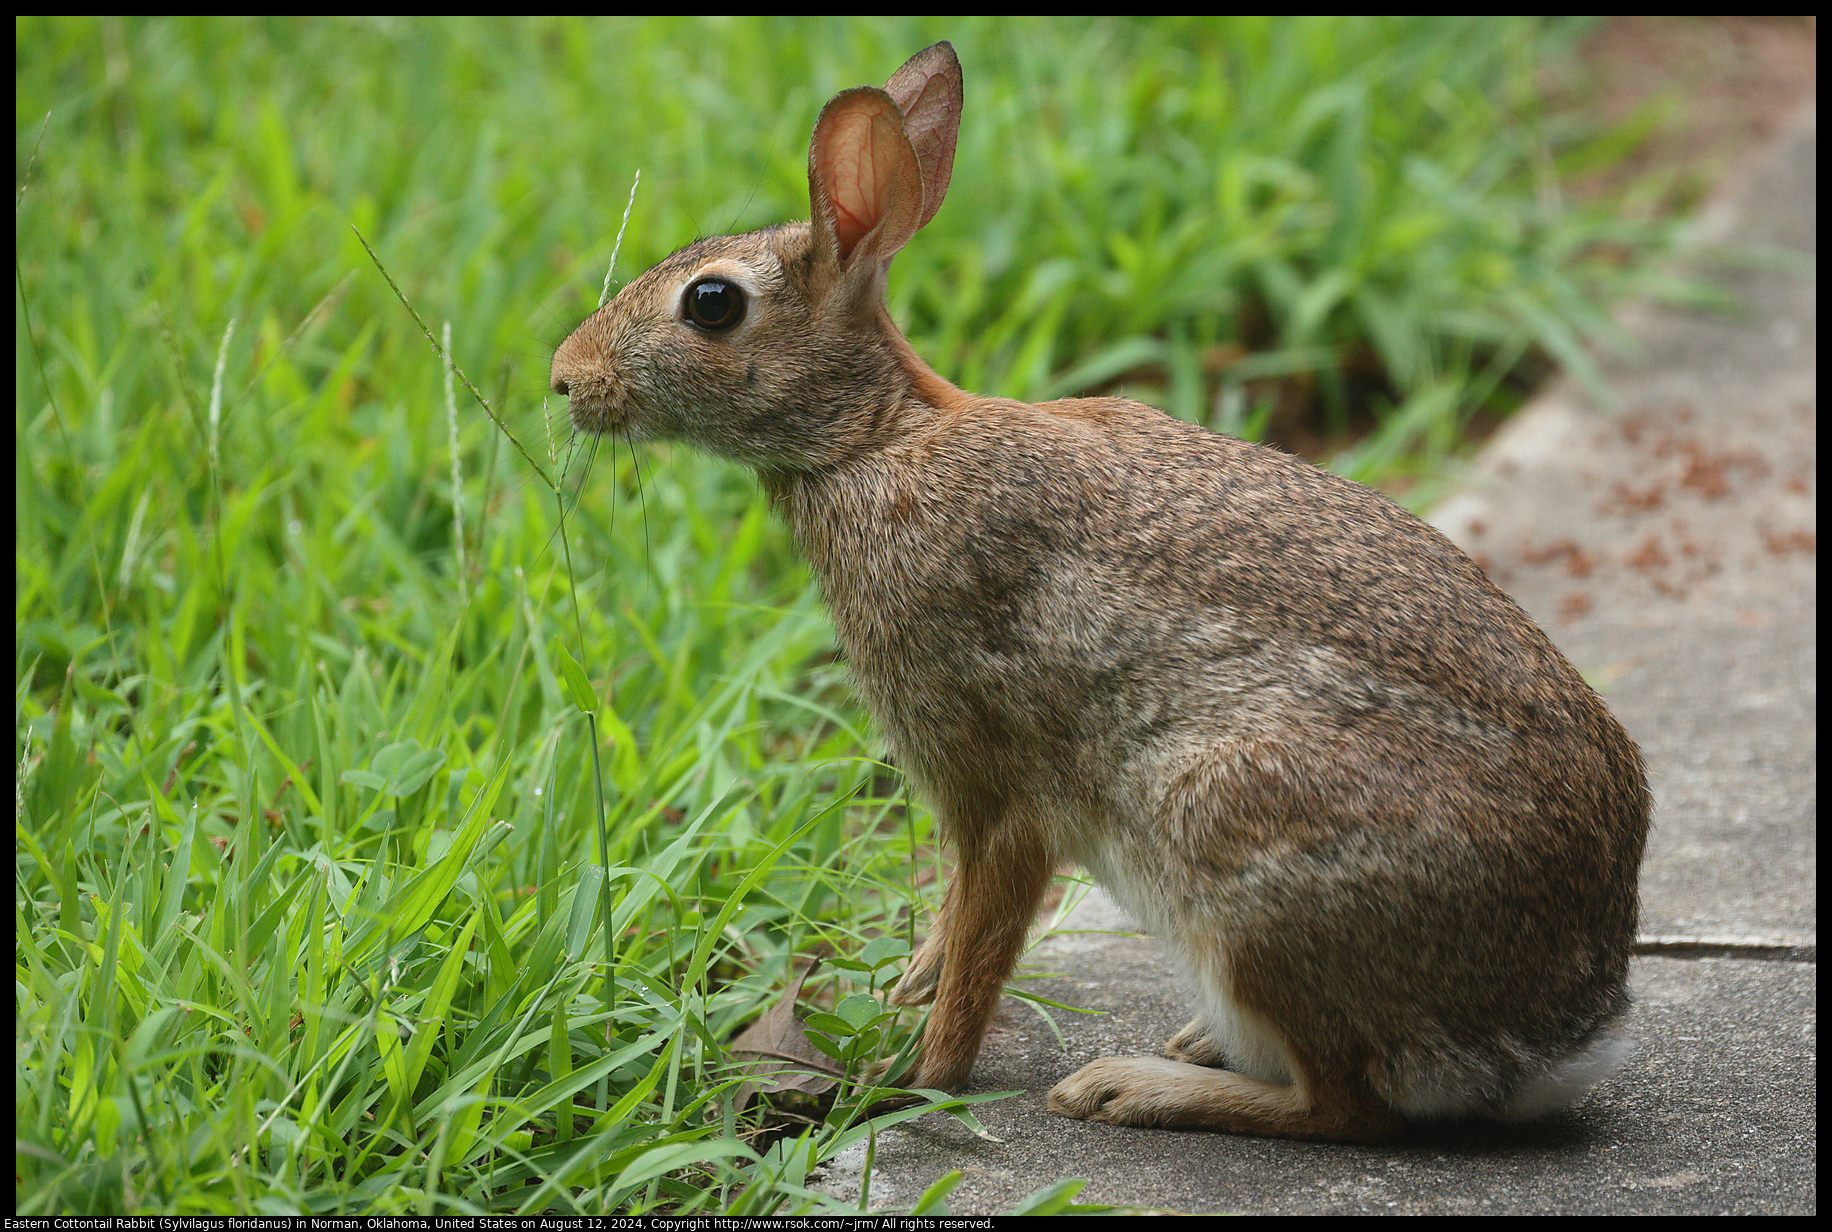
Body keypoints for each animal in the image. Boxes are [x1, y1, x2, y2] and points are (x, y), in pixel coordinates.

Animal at [549, 45, 1656, 1144]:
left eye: (711, 304)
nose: (563, 378)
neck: (870, 442)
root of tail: (1556, 1035)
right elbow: (950, 925)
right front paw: (904, 993)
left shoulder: (995, 790)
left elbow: (982, 938)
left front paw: (912, 1077)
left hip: (1237, 851)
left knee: (1342, 1106)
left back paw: (1129, 1086)